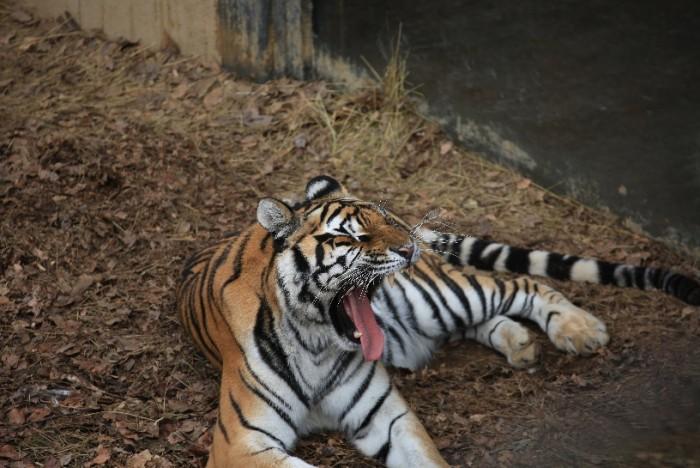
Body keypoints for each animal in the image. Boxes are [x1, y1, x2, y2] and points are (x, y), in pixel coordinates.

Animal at [176, 175, 699, 467]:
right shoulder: (242, 444)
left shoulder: (388, 416)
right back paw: (520, 343)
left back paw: (578, 329)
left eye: (385, 219)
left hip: (443, 297)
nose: (407, 247)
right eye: (354, 236)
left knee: (522, 284)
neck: (319, 343)